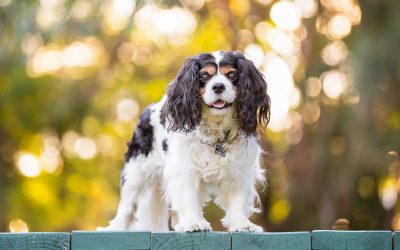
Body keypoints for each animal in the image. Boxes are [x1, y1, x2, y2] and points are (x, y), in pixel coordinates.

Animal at [98, 50, 270, 232]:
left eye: (232, 75)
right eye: (204, 76)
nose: (218, 86)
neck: (216, 129)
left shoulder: (241, 167)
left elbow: (238, 197)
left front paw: (242, 224)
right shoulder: (185, 168)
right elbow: (188, 196)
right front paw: (194, 223)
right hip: (137, 171)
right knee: (127, 204)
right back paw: (115, 228)